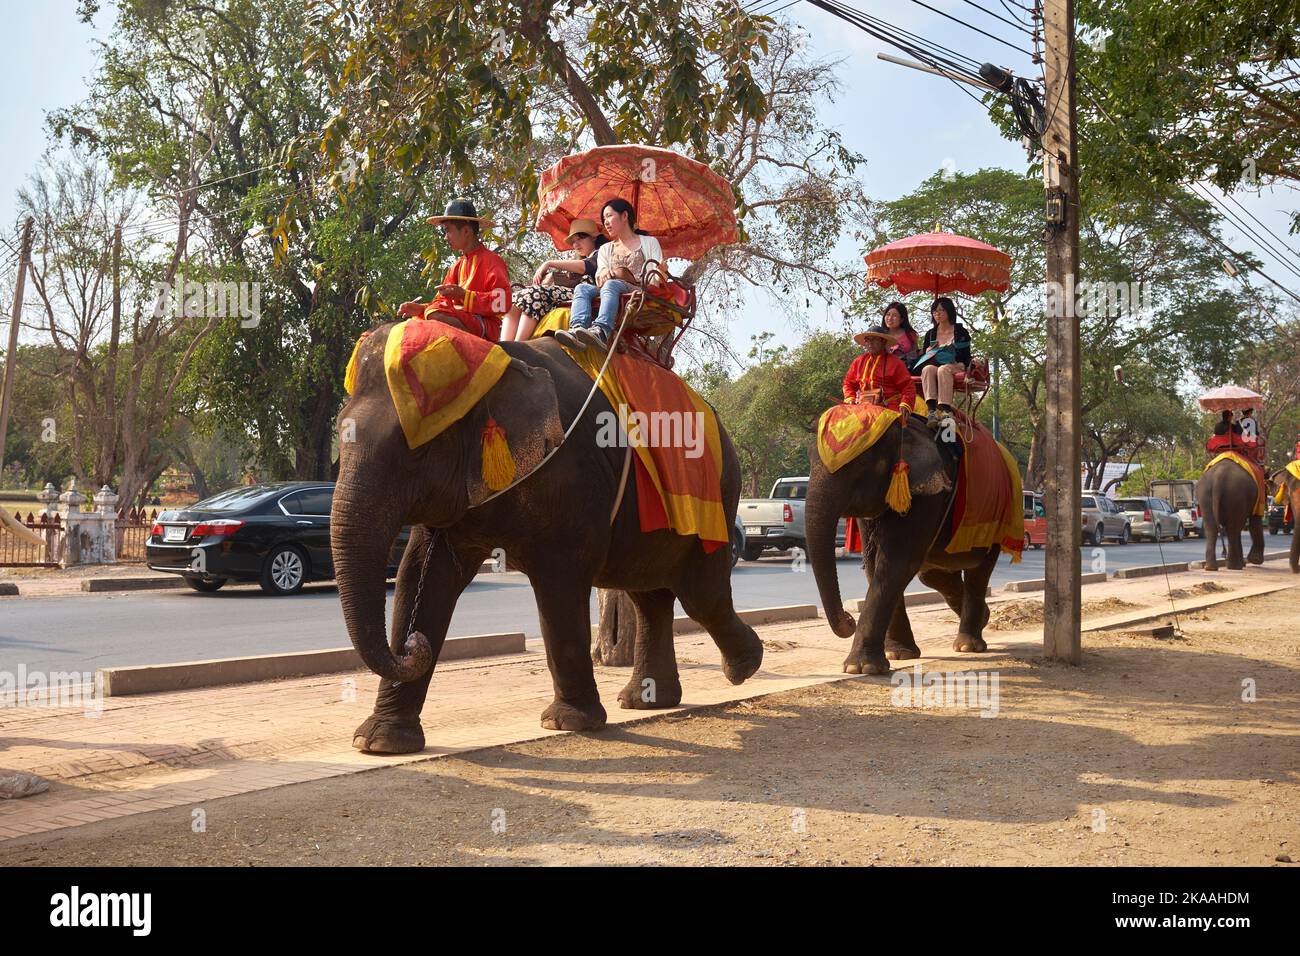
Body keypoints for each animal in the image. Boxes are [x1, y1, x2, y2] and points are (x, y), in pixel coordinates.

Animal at [333, 325, 764, 754]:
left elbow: (559, 583)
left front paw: (568, 722)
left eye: (417, 450)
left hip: (716, 498)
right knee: (649, 594)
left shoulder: (570, 476)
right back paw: (646, 700)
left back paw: (743, 666)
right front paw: (377, 742)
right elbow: (421, 574)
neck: (493, 364)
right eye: (340, 432)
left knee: (699, 595)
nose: (411, 644)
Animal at [806, 418, 1001, 677]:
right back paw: (984, 618)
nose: (849, 619)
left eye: (861, 464)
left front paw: (861, 667)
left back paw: (968, 645)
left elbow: (896, 562)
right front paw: (898, 655)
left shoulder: (928, 494)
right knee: (934, 575)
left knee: (978, 572)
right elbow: (874, 563)